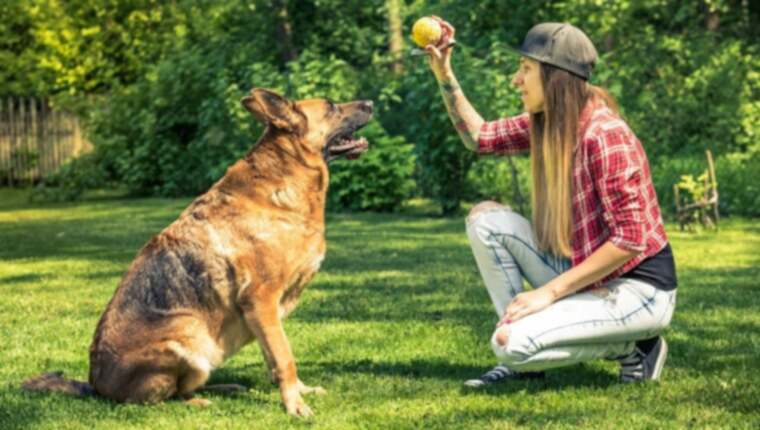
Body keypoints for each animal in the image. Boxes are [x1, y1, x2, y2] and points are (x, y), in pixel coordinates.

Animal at [25, 88, 376, 416]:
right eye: (331, 106)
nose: (371, 103)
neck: (284, 182)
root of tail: (96, 386)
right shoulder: (260, 301)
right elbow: (284, 357)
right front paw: (294, 405)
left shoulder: (264, 314)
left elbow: (274, 356)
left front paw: (298, 391)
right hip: (190, 335)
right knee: (158, 400)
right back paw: (198, 401)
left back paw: (224, 388)